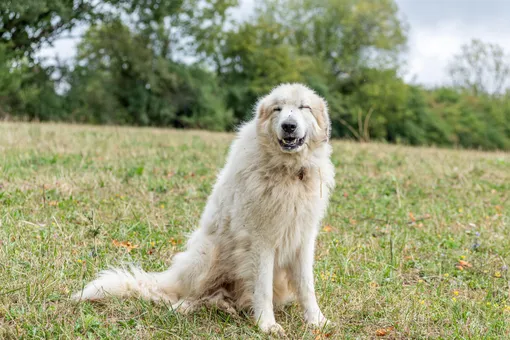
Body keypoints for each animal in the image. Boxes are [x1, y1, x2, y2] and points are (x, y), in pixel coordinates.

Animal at [71, 83, 334, 336]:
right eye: (278, 109)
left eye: (304, 107)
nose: (289, 126)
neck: (290, 173)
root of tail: (173, 277)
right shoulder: (260, 242)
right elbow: (262, 288)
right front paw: (267, 325)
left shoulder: (303, 239)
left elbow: (306, 286)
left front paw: (317, 321)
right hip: (208, 253)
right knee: (184, 296)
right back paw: (191, 306)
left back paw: (226, 305)